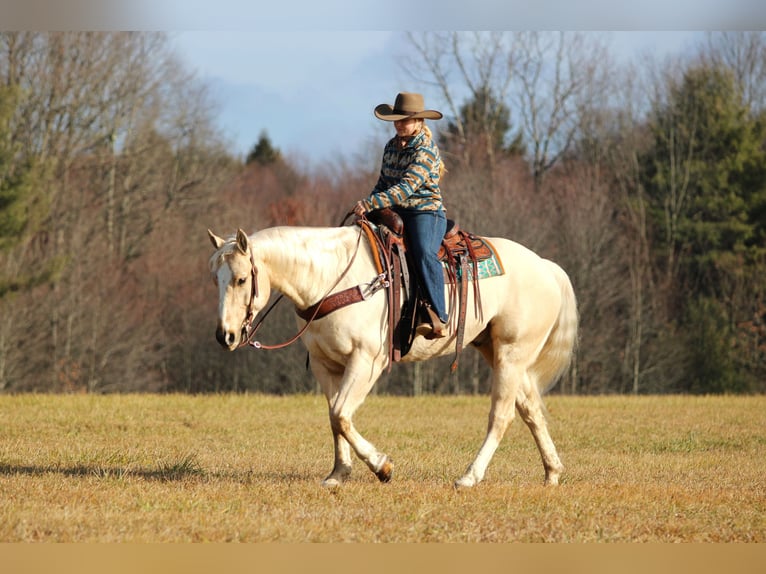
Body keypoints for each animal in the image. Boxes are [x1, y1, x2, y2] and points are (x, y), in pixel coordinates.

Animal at [207, 224, 578, 488]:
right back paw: (552, 472)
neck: (332, 279)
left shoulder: (366, 361)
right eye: (216, 279)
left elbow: (341, 414)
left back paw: (470, 477)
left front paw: (381, 467)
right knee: (531, 410)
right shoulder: (327, 366)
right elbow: (334, 418)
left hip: (511, 354)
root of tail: (546, 267)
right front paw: (338, 474)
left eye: (241, 279)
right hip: (499, 352)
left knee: (501, 415)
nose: (225, 336)